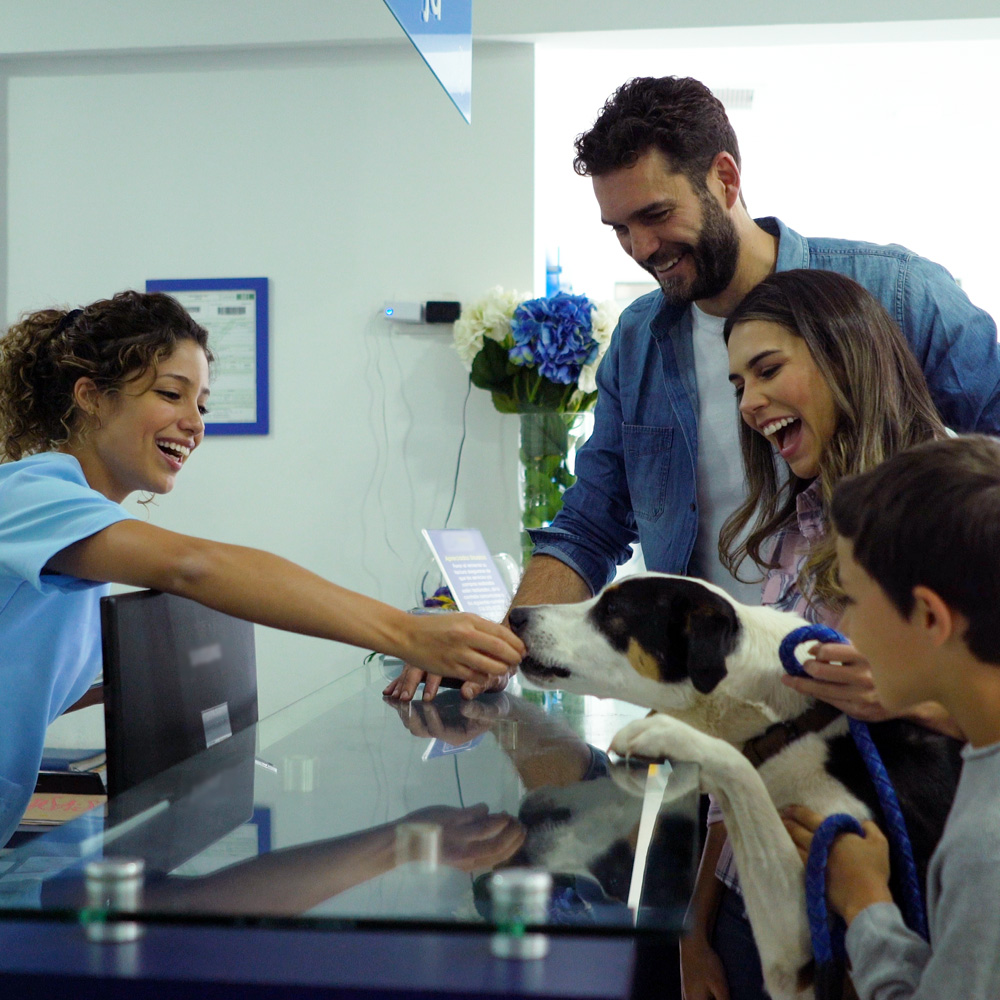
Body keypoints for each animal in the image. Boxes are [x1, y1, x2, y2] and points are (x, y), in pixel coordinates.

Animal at [512, 572, 964, 1000]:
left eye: (612, 611)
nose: (516, 616)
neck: (794, 721)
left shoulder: (803, 953)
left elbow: (739, 772)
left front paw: (665, 733)